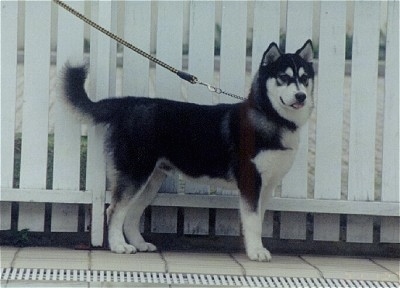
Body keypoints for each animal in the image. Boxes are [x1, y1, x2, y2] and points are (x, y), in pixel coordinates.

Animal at [61, 39, 312, 262]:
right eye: (284, 77)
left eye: (305, 78)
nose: (301, 96)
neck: (272, 117)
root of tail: (127, 103)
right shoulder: (251, 182)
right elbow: (252, 222)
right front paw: (256, 252)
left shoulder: (267, 186)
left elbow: (258, 221)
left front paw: (256, 248)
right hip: (135, 174)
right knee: (114, 210)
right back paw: (118, 246)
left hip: (150, 181)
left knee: (131, 214)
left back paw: (139, 244)